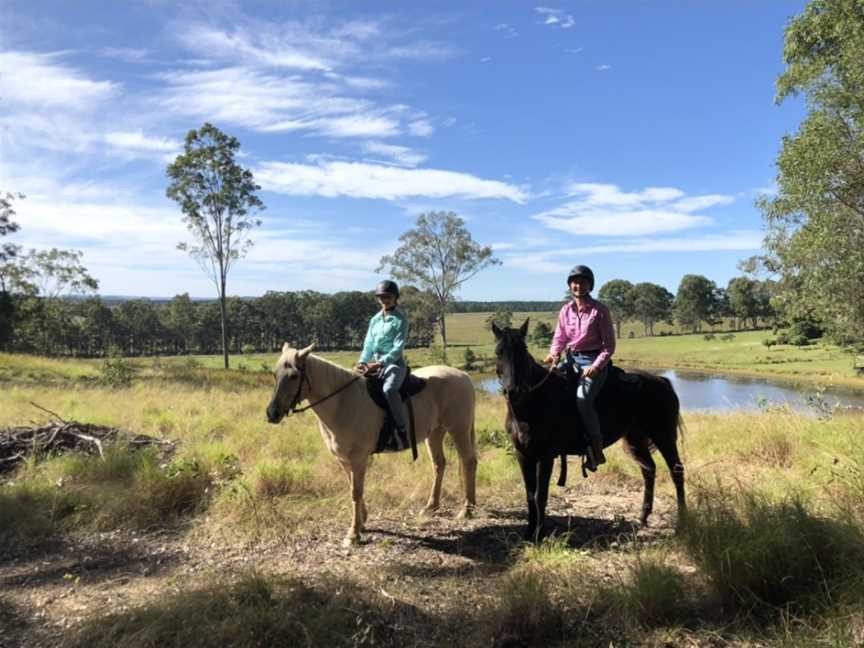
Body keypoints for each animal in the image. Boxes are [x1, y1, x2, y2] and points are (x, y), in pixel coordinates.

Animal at [264, 344, 480, 548]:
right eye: (275, 374)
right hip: (435, 432)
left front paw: (353, 534)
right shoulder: (343, 459)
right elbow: (353, 487)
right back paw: (431, 507)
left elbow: (356, 492)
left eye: (293, 376)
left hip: (458, 429)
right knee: (439, 464)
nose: (272, 413)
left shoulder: (358, 458)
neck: (343, 402)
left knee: (468, 461)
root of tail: (464, 376)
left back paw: (466, 510)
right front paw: (362, 521)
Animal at [496, 320, 684, 540]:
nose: (513, 391)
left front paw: (540, 533)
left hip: (664, 437)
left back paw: (682, 522)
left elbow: (539, 495)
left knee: (676, 471)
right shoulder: (523, 454)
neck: (531, 403)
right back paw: (643, 517)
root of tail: (662, 382)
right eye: (499, 352)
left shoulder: (545, 456)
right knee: (648, 470)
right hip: (635, 439)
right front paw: (528, 533)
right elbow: (529, 494)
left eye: (523, 350)